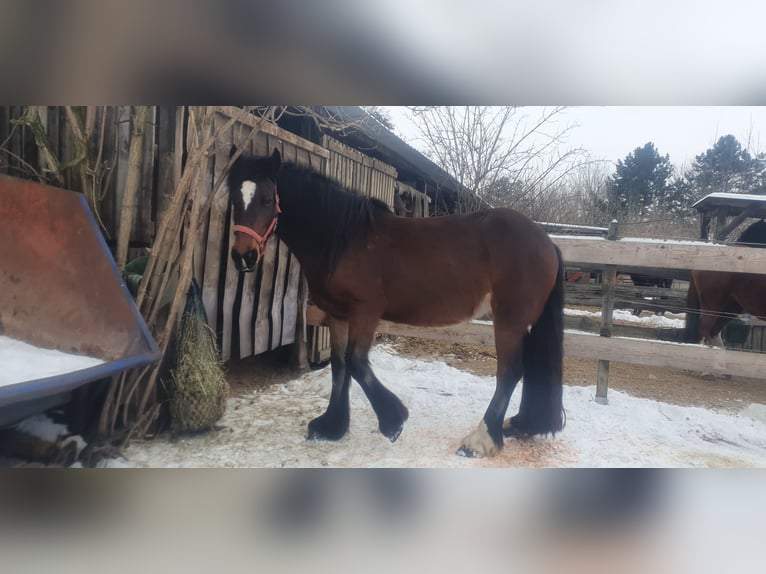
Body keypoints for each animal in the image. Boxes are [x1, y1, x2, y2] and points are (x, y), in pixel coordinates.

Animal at [227, 147, 565, 457]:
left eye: (267, 199)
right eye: (234, 198)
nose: (244, 257)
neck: (343, 240)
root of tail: (546, 242)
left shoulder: (364, 312)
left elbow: (356, 363)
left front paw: (393, 420)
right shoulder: (336, 315)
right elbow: (338, 365)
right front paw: (332, 426)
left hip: (509, 319)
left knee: (510, 372)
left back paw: (480, 440)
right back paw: (519, 425)